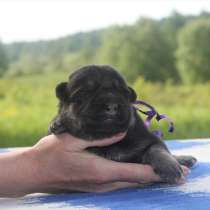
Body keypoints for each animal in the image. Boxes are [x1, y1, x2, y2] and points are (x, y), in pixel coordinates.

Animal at [48, 65, 195, 183]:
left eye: (123, 92)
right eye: (85, 92)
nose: (112, 105)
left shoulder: (149, 138)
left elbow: (157, 149)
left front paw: (169, 167)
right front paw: (58, 122)